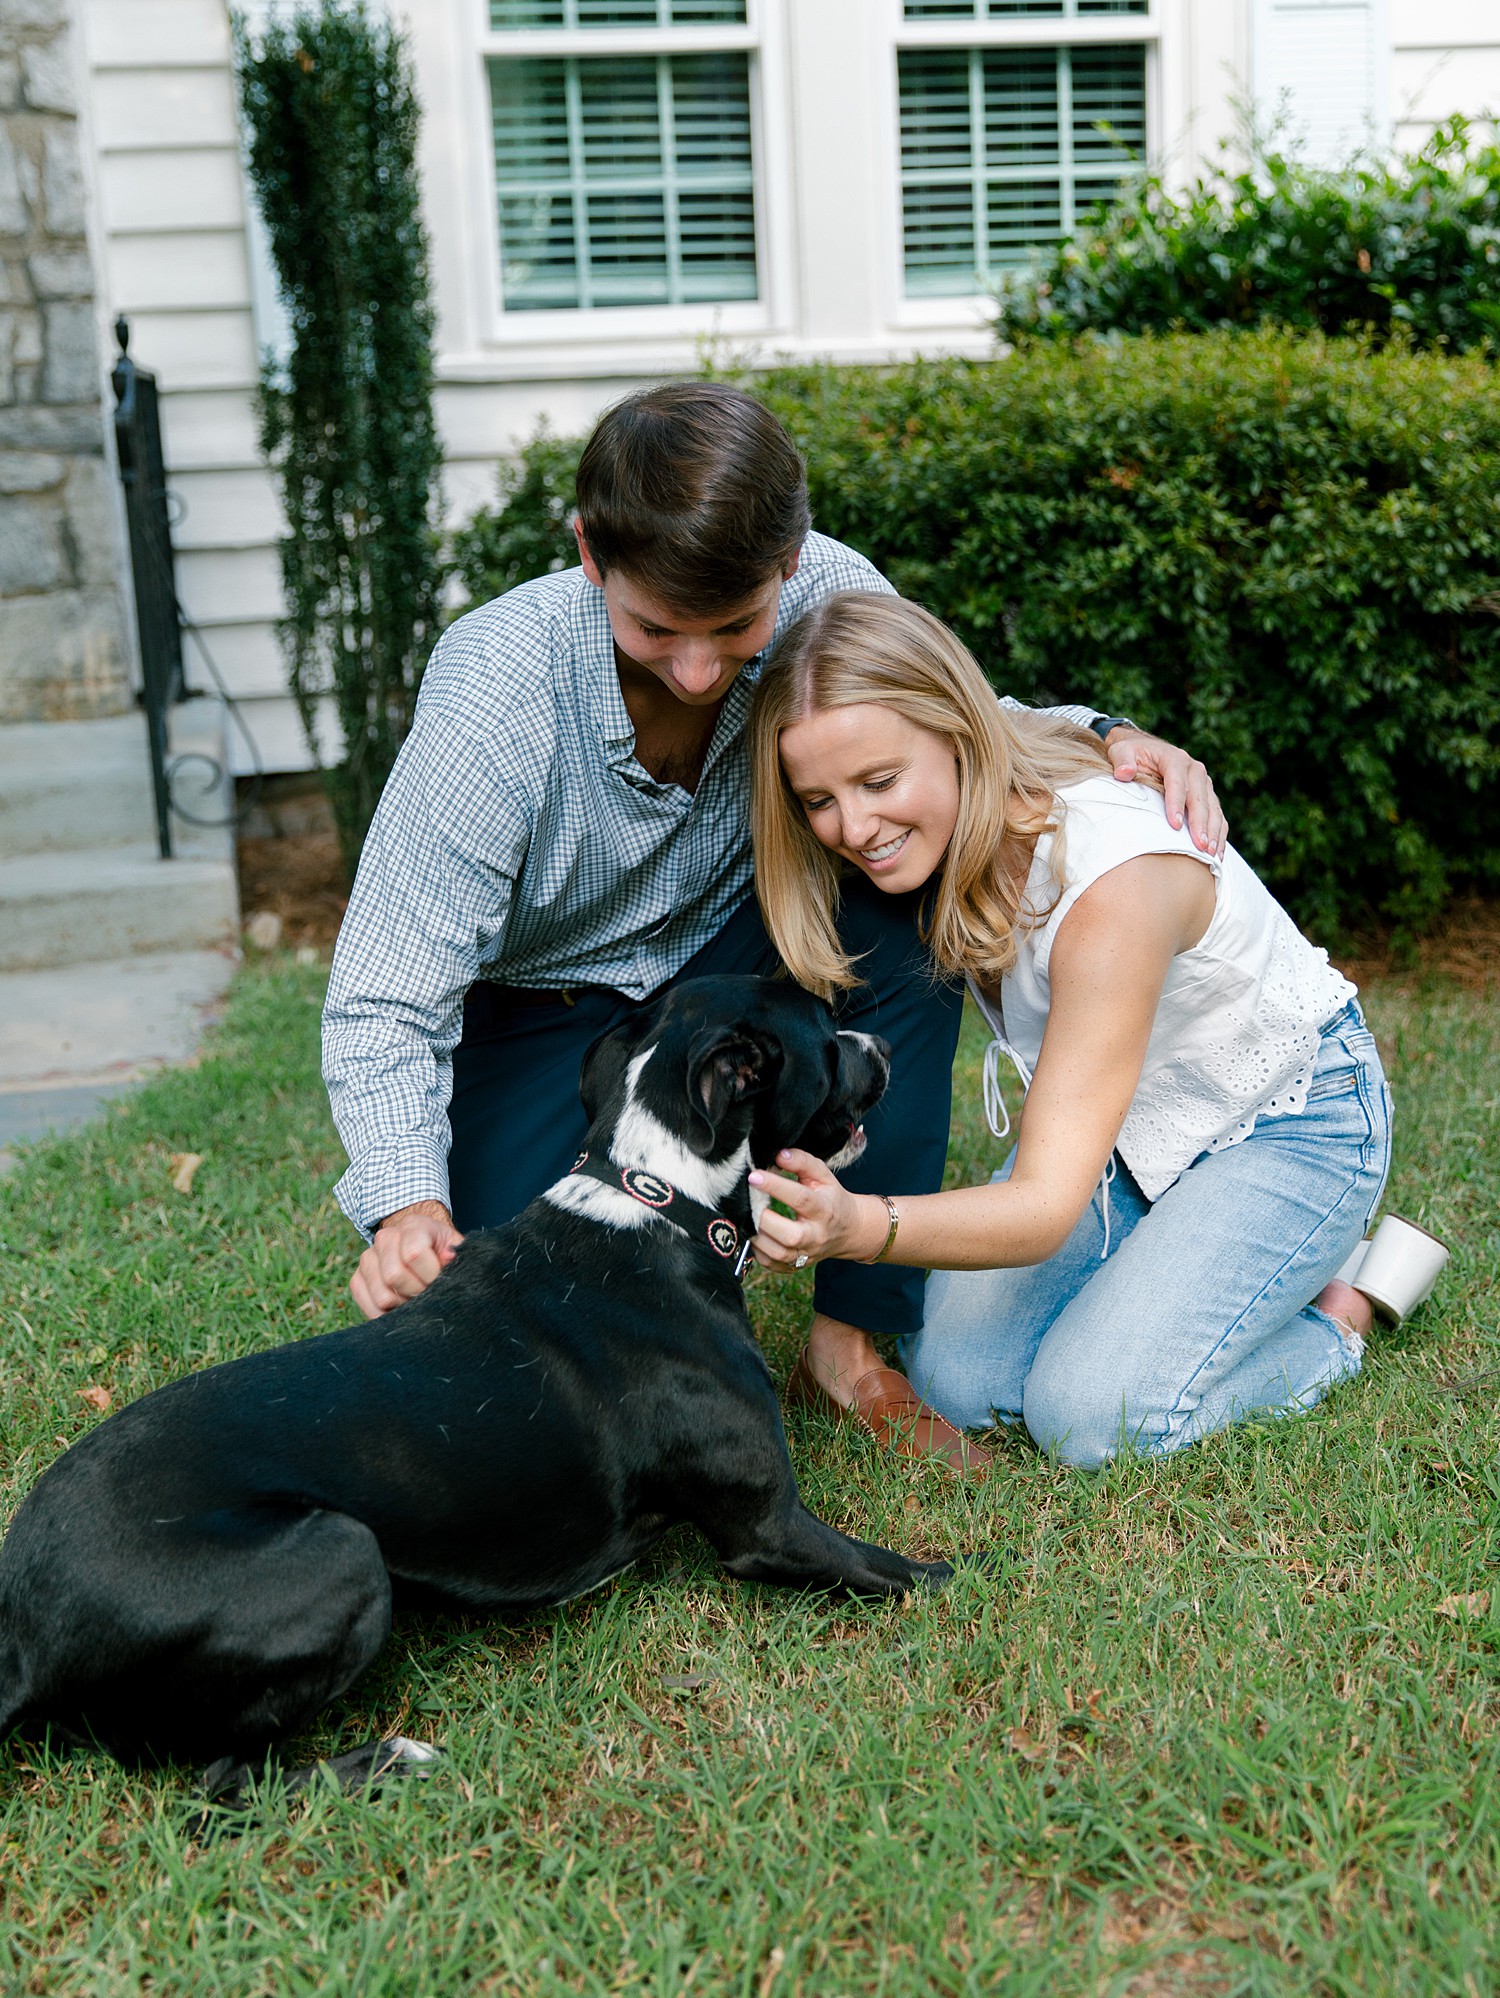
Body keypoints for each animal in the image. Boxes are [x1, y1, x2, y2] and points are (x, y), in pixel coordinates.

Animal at [0, 975, 962, 1790]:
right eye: (826, 1033)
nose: (881, 1043)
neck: (660, 1203)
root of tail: (25, 1636)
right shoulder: (767, 1527)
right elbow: (914, 1575)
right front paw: (962, 1571)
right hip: (340, 1552)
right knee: (227, 1783)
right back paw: (392, 1756)